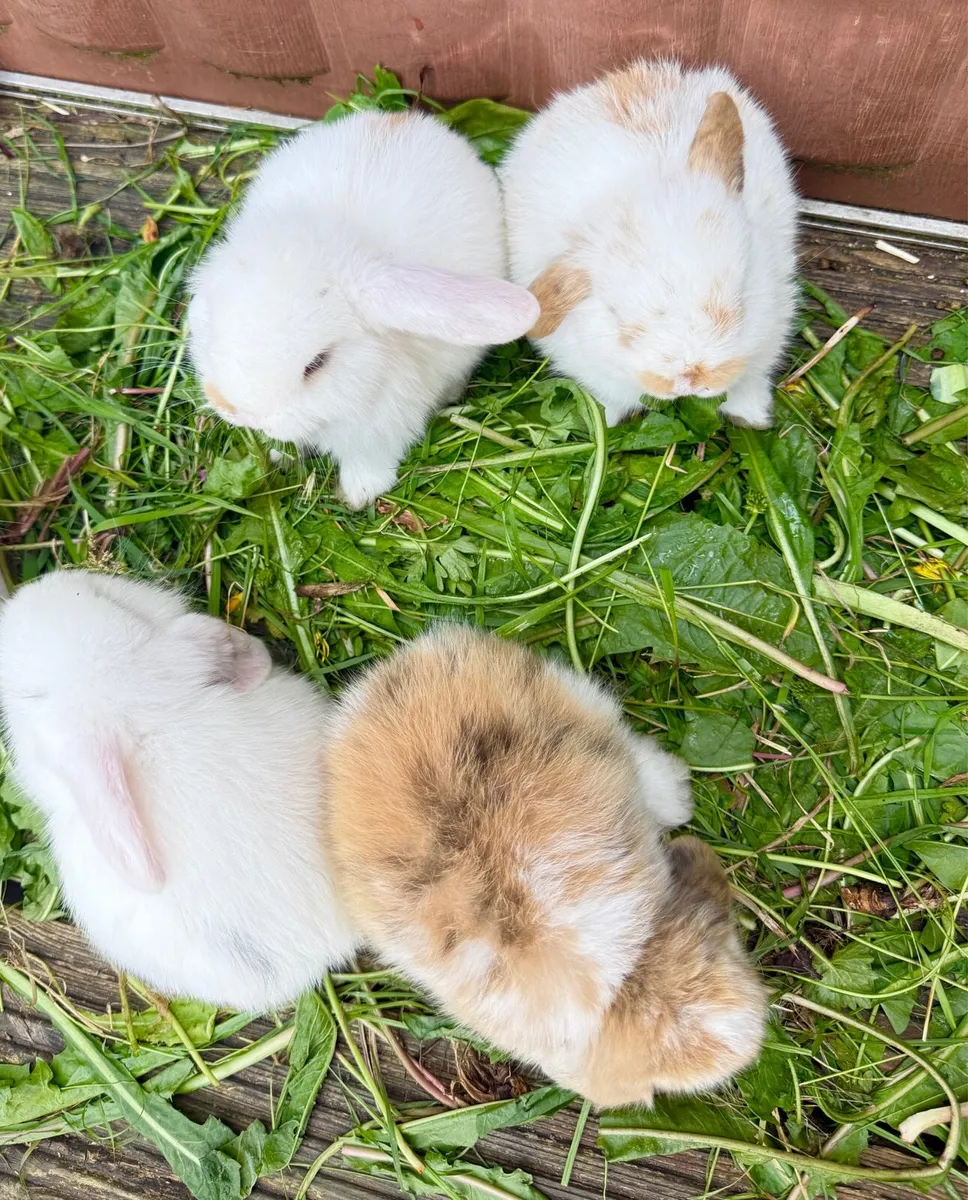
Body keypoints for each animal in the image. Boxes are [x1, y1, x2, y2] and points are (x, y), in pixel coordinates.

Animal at [187, 110, 540, 510]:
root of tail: (401, 118)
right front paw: (282, 458)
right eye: (214, 331)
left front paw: (358, 495)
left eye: (317, 363)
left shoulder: (379, 435)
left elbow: (368, 464)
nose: (246, 416)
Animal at [499, 60, 798, 430]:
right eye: (618, 321)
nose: (691, 377)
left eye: (741, 298)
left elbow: (748, 386)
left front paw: (752, 419)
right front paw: (610, 421)